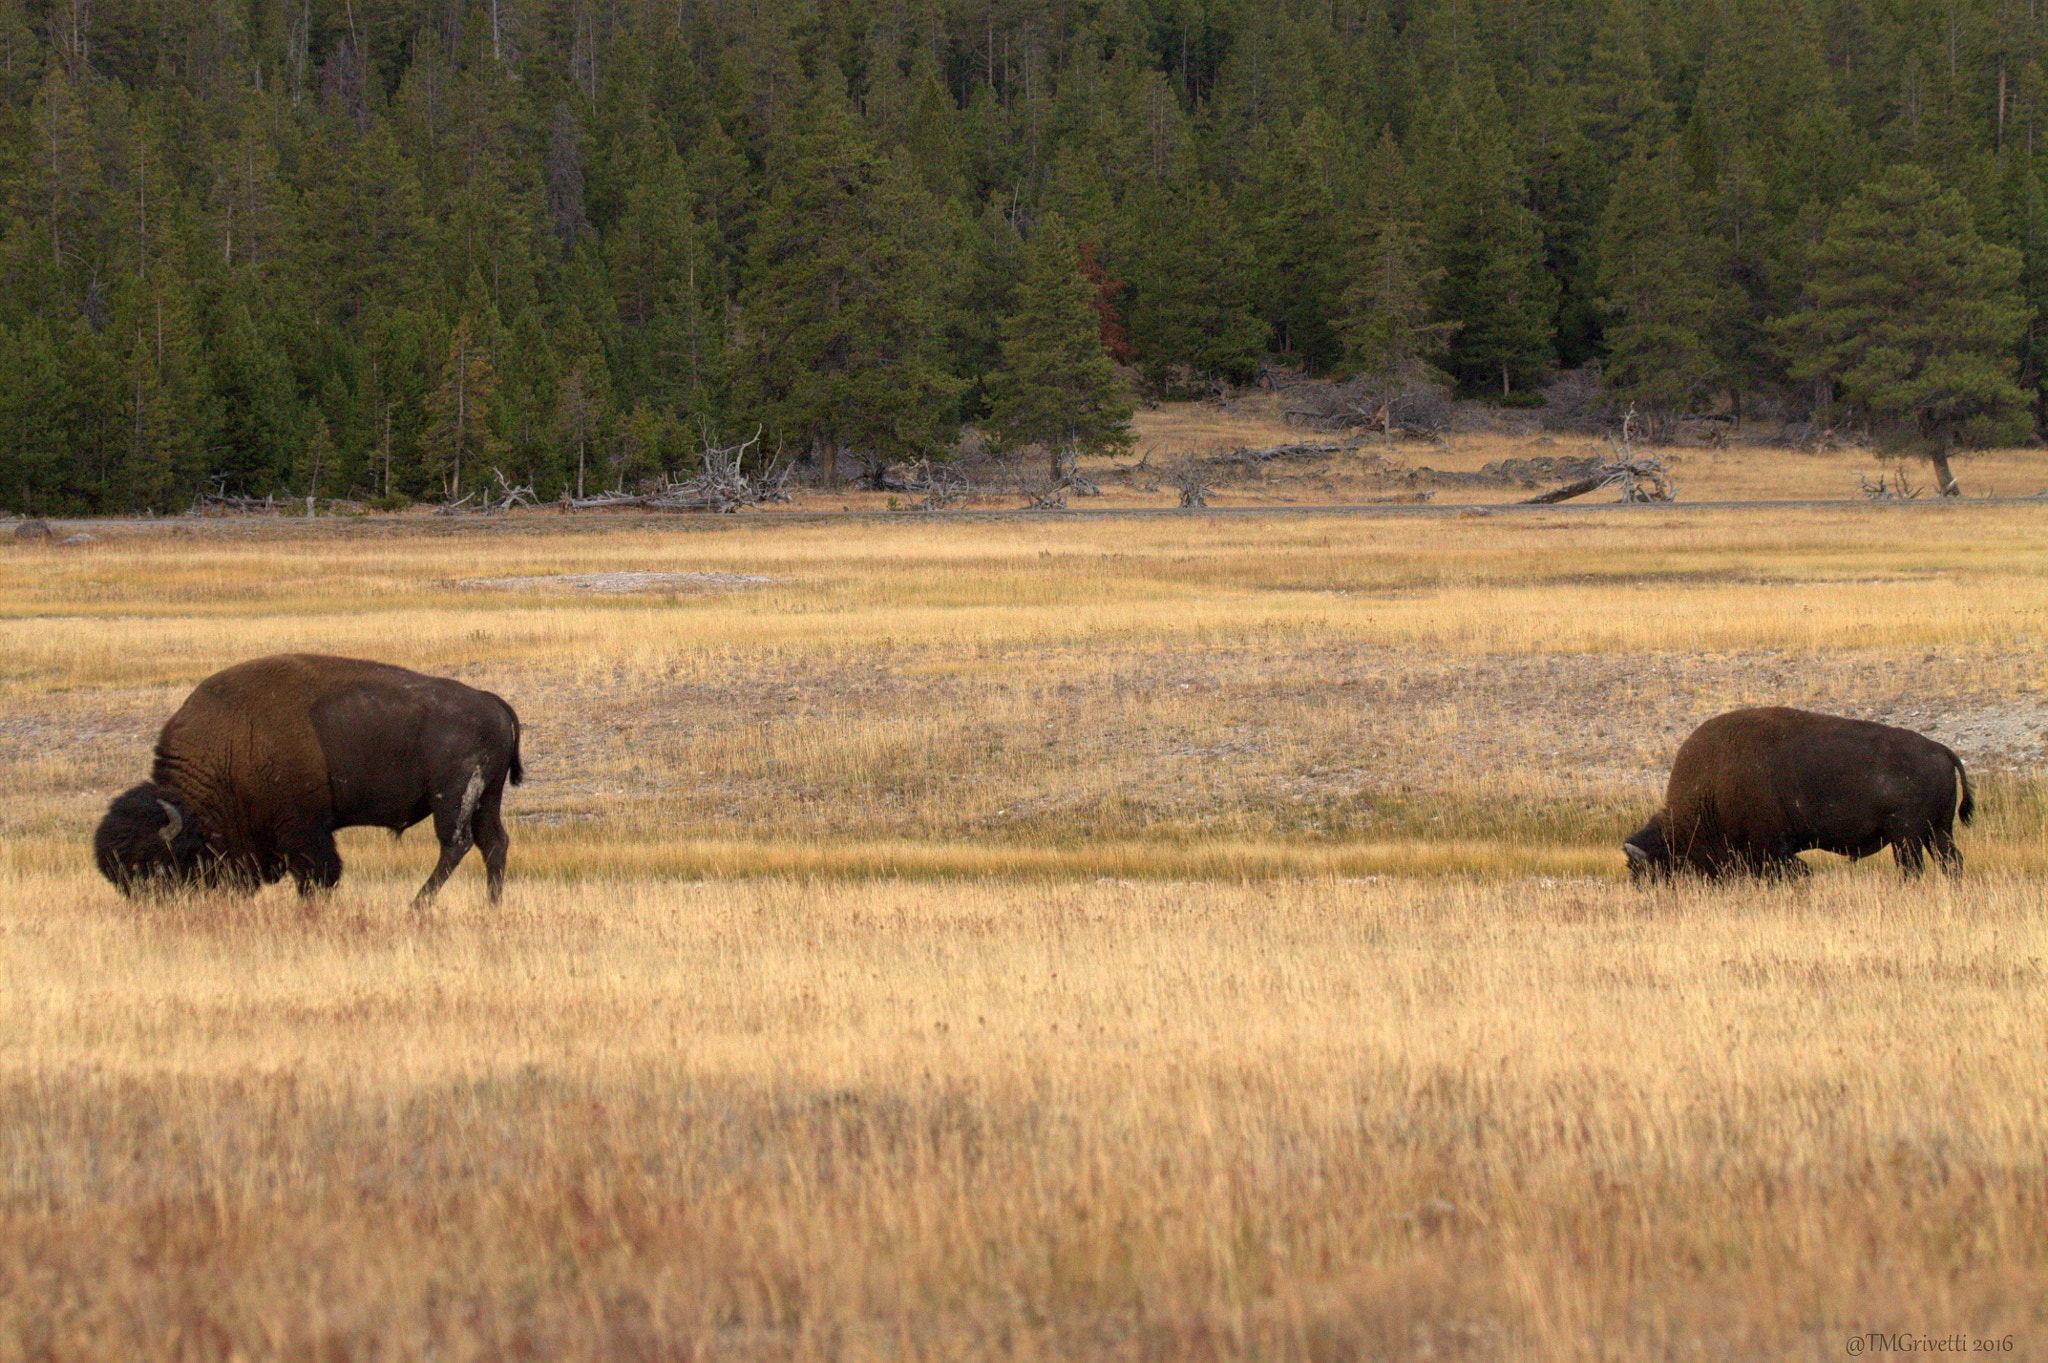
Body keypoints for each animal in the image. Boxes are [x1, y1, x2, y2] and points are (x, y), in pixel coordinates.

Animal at [94, 654, 523, 905]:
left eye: (157, 866)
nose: (152, 911)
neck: (231, 743)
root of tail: (491, 701)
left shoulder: (303, 828)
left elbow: (318, 873)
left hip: (452, 796)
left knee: (456, 844)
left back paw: (417, 905)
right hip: (487, 796)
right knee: (493, 843)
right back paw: (491, 904)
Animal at [1623, 706, 1973, 883]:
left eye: (1647, 871)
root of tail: (1940, 749)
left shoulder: (1773, 848)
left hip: (1907, 835)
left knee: (1914, 868)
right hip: (1937, 831)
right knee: (1951, 862)